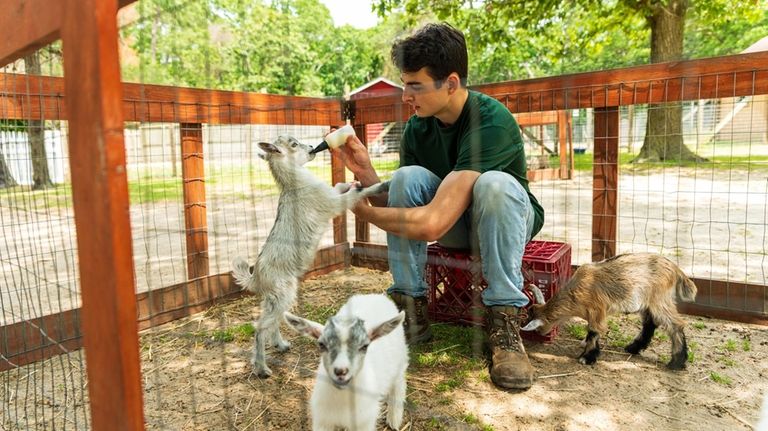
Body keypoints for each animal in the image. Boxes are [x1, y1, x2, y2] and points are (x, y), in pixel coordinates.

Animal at [231, 137, 390, 380]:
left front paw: (352, 182)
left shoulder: (331, 194)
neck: (293, 183)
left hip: (274, 297)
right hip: (283, 292)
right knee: (260, 328)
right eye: (294, 144)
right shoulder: (331, 203)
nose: (313, 148)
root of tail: (255, 276)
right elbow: (349, 198)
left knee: (271, 320)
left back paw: (280, 345)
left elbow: (339, 187)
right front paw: (380, 185)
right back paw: (261, 368)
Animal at [284, 294, 412, 431]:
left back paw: (394, 419)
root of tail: (376, 295)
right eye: (322, 345)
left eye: (365, 346)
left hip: (400, 360)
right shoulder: (323, 420)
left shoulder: (364, 422)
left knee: (399, 384)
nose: (341, 371)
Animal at [520, 253, 696, 372]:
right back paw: (633, 348)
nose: (540, 334)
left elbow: (593, 331)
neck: (576, 292)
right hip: (647, 303)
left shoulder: (597, 310)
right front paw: (585, 345)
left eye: (537, 327)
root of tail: (675, 269)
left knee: (675, 325)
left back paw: (676, 362)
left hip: (659, 300)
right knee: (650, 323)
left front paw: (587, 357)